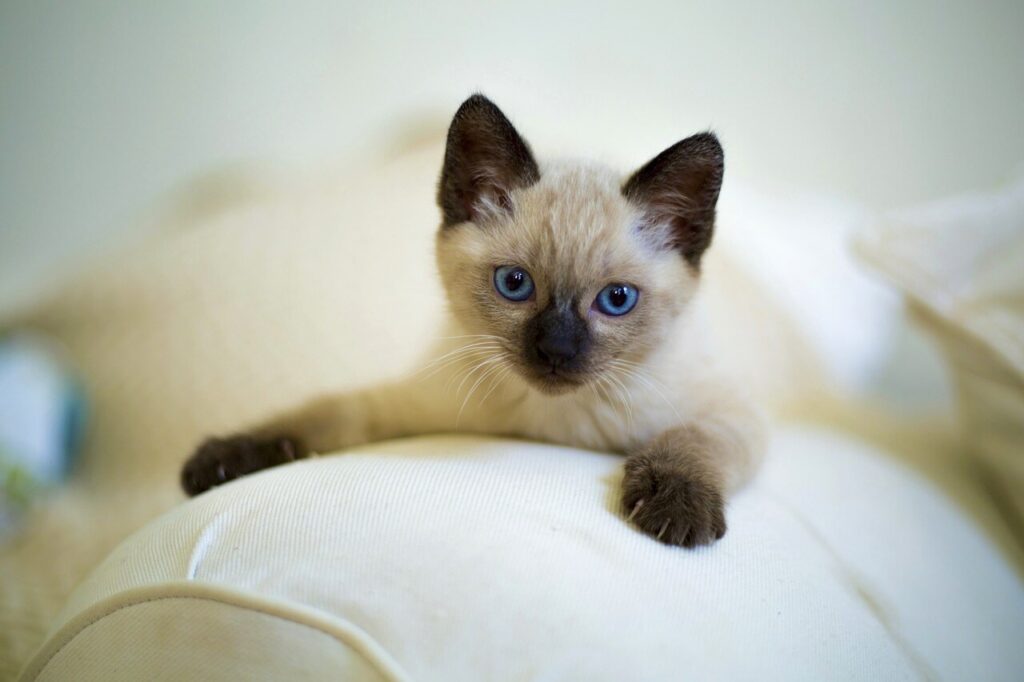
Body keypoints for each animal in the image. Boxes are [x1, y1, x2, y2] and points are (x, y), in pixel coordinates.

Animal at [182, 93, 761, 544]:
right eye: (514, 284)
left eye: (616, 299)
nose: (556, 351)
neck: (549, 427)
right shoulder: (412, 403)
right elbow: (321, 413)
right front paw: (219, 459)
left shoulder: (729, 411)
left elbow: (691, 441)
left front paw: (676, 511)